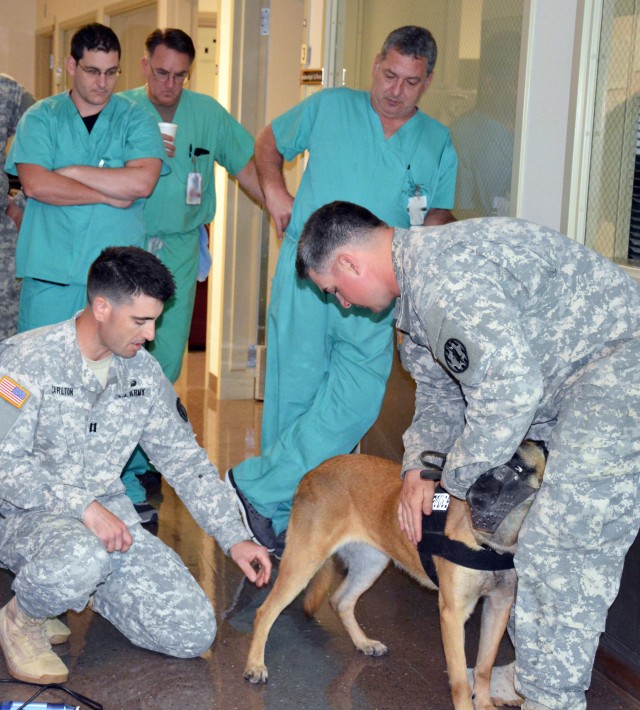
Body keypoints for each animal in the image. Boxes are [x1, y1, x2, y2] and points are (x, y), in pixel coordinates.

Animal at [244, 444, 544, 710]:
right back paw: (255, 665)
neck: (492, 543)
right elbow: (460, 681)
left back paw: (363, 643)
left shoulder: (499, 606)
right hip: (304, 562)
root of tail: (313, 471)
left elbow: (483, 668)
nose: (478, 498)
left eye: (519, 467)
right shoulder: (454, 612)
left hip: (371, 564)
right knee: (265, 611)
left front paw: (484, 703)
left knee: (341, 601)